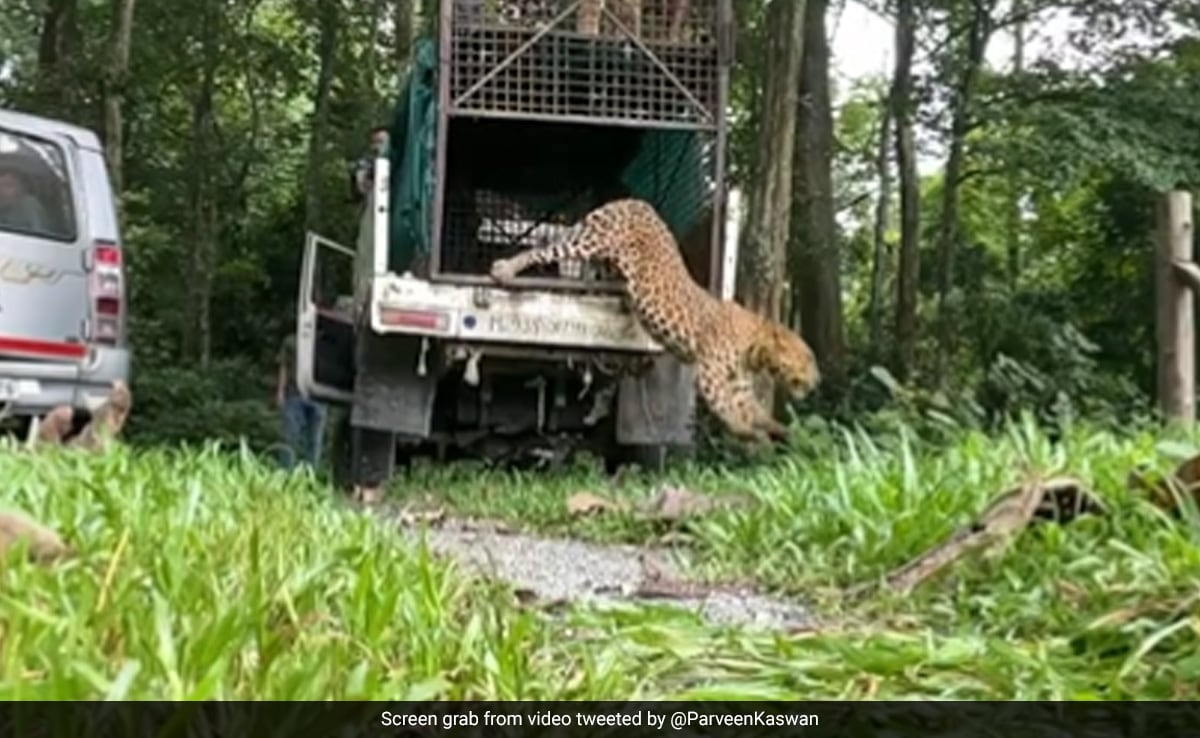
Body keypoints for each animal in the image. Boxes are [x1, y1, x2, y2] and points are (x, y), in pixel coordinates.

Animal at [489, 198, 820, 444]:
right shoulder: (711, 374)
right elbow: (729, 411)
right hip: (591, 239)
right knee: (545, 250)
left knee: (591, 271)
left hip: (606, 259)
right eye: (808, 358)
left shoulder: (739, 384)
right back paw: (505, 269)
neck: (755, 347)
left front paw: (779, 431)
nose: (818, 379)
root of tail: (634, 201)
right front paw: (748, 434)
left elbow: (755, 411)